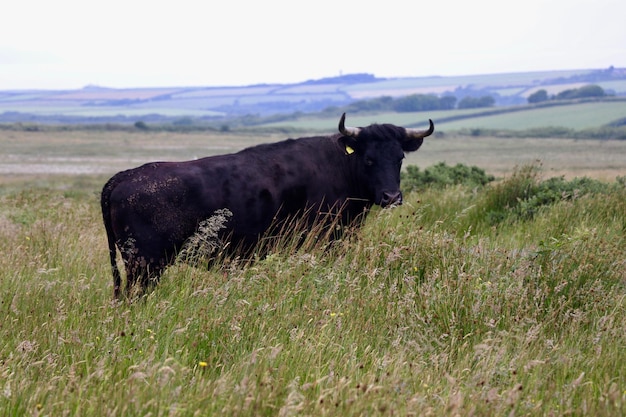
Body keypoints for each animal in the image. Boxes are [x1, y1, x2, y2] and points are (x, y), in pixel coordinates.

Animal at [103, 112, 434, 298]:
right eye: (368, 159)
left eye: (399, 158)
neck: (340, 164)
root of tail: (124, 176)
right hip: (144, 267)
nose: (391, 197)